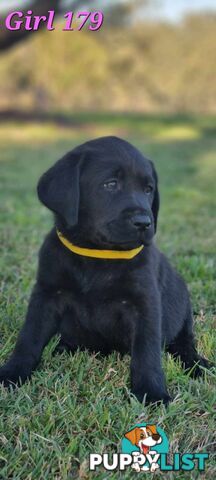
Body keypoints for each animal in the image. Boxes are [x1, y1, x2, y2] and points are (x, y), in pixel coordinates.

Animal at [0, 137, 210, 404]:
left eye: (148, 189)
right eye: (110, 184)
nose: (145, 222)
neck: (97, 254)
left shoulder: (145, 304)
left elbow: (147, 352)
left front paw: (151, 392)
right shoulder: (47, 295)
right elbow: (29, 338)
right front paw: (11, 373)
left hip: (183, 311)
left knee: (184, 343)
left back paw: (198, 364)